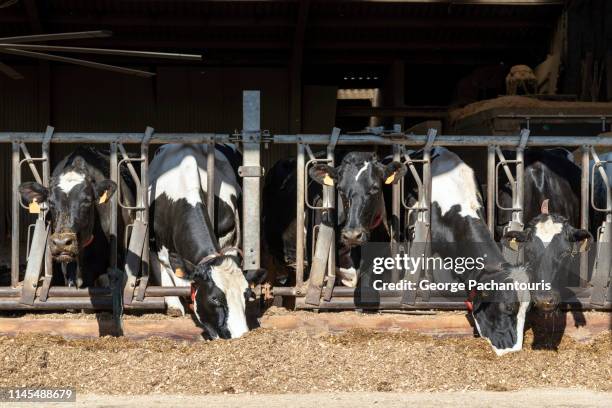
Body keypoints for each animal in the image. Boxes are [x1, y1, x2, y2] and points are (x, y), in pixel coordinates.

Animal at [149, 145, 264, 340]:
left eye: (246, 295)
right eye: (214, 298)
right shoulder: (160, 247)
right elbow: (169, 272)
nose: (240, 335)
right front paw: (175, 305)